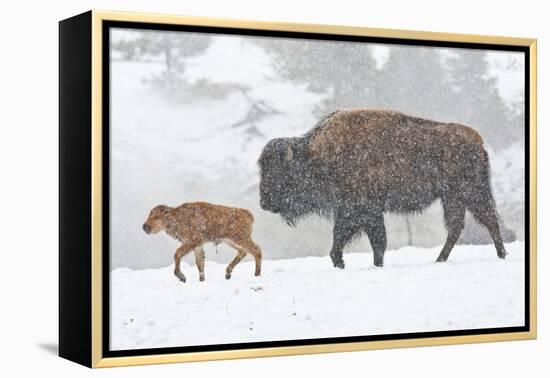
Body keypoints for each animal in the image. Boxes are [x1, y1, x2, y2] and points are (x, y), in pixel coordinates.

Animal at [258, 108, 508, 268]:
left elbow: (359, 239)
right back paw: (440, 260)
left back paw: (501, 255)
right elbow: (373, 241)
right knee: (458, 226)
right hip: (453, 197)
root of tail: (478, 141)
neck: (318, 155)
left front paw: (343, 262)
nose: (264, 202)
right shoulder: (364, 212)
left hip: (470, 192)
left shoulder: (358, 210)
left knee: (488, 220)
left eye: (279, 172)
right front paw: (367, 264)